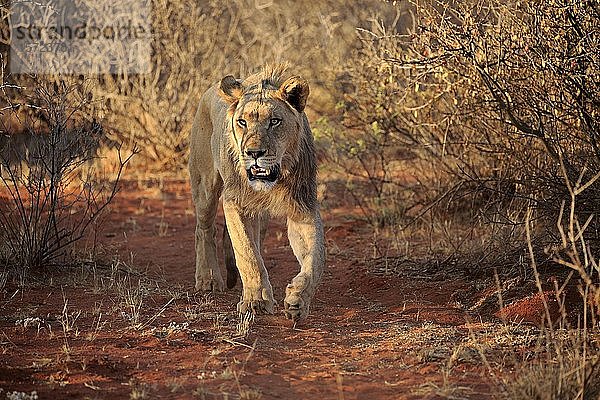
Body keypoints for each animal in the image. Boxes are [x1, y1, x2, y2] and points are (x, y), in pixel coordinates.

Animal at [190, 66, 326, 322]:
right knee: (204, 229)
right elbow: (247, 252)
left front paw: (298, 299)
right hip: (205, 188)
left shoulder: (303, 208)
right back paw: (208, 278)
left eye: (274, 121)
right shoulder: (235, 202)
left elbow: (316, 259)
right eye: (242, 122)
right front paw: (256, 300)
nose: (253, 153)